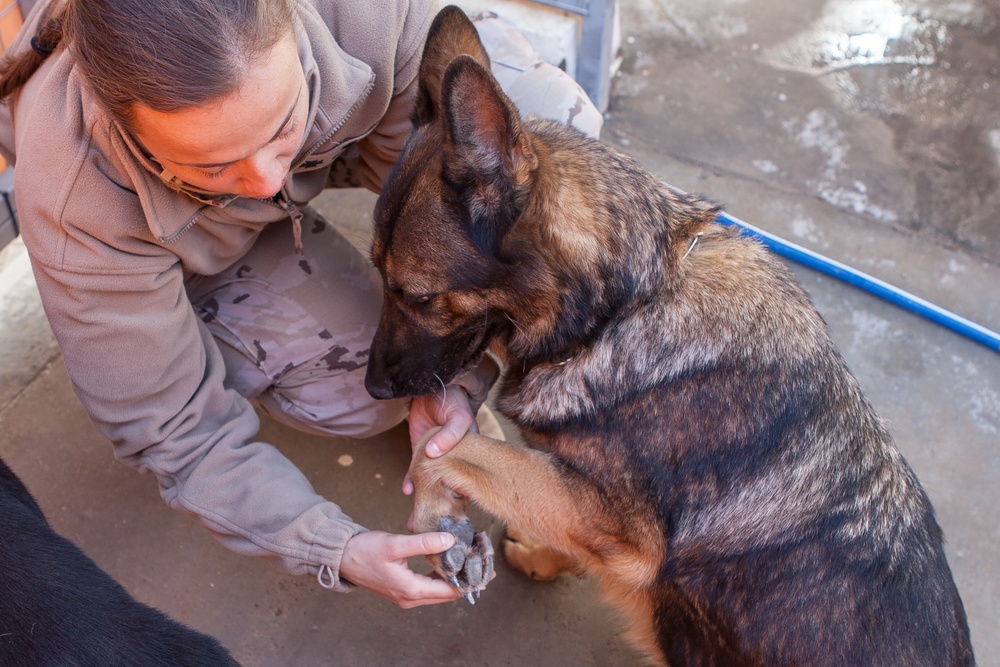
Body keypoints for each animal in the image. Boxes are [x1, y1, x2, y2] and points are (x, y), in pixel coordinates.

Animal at [364, 6, 972, 667]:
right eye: (376, 271)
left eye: (417, 296)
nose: (372, 389)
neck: (629, 305)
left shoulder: (617, 528)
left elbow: (445, 452)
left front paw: (436, 517)